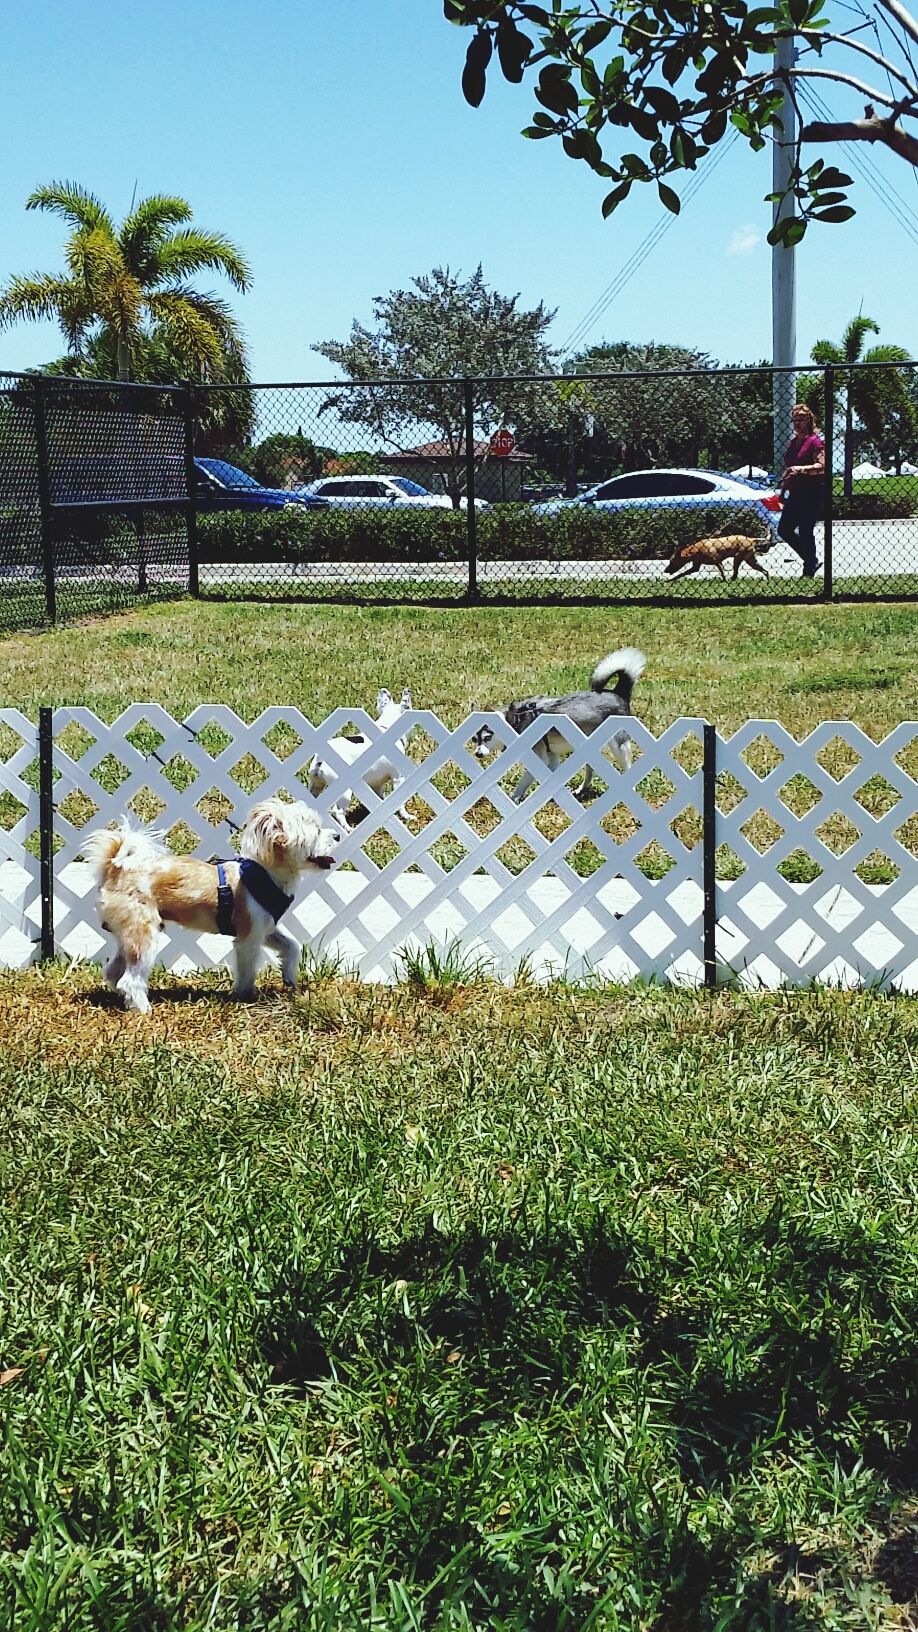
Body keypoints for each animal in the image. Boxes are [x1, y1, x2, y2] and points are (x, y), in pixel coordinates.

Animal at [81, 796, 339, 1011]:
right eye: (316, 831)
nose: (336, 835)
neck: (266, 874)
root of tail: (115, 868)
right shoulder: (249, 938)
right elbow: (247, 970)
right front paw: (245, 996)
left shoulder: (265, 928)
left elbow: (292, 946)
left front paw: (289, 978)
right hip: (144, 934)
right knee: (130, 979)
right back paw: (143, 1009)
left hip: (128, 934)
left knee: (114, 972)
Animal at [307, 688, 411, 829]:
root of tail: (321, 759)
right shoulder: (398, 778)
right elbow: (400, 804)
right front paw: (406, 816)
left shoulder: (377, 784)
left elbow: (380, 799)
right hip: (345, 793)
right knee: (338, 812)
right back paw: (348, 828)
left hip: (315, 785)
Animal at [470, 649, 643, 802]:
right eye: (474, 739)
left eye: (487, 737)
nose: (477, 754)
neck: (515, 720)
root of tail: (618, 693)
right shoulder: (551, 757)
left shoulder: (540, 757)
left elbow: (523, 783)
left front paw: (515, 799)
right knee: (590, 770)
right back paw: (581, 790)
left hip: (619, 746)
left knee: (627, 766)